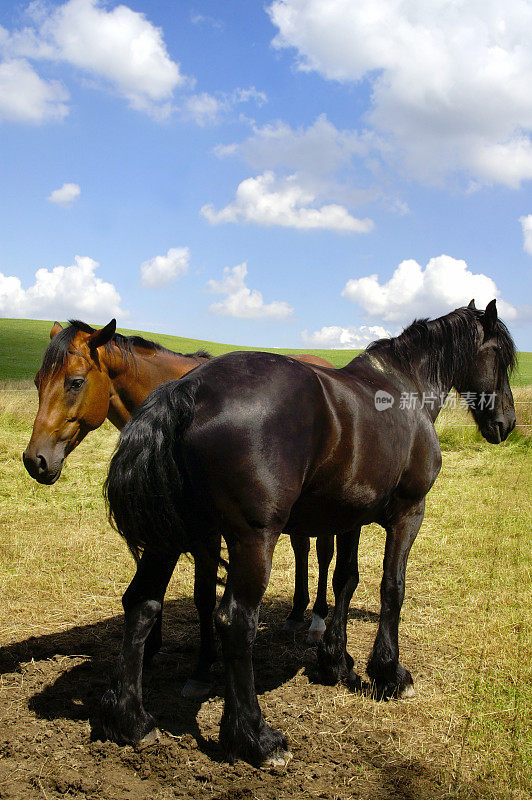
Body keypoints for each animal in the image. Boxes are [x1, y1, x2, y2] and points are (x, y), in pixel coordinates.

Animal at [22, 322, 334, 696]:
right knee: (302, 548)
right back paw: (296, 612)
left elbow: (203, 596)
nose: (35, 460)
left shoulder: (207, 532)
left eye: (76, 382)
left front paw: (201, 668)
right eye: (38, 381)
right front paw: (150, 649)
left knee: (324, 554)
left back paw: (317, 621)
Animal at [103, 298, 516, 764]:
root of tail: (190, 390)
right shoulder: (409, 515)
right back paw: (255, 737)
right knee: (235, 621)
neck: (403, 386)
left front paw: (336, 660)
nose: (507, 422)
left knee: (141, 604)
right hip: (253, 541)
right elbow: (392, 589)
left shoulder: (350, 518)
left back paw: (132, 721)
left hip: (167, 540)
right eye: (499, 357)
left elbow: (345, 581)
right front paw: (389, 674)